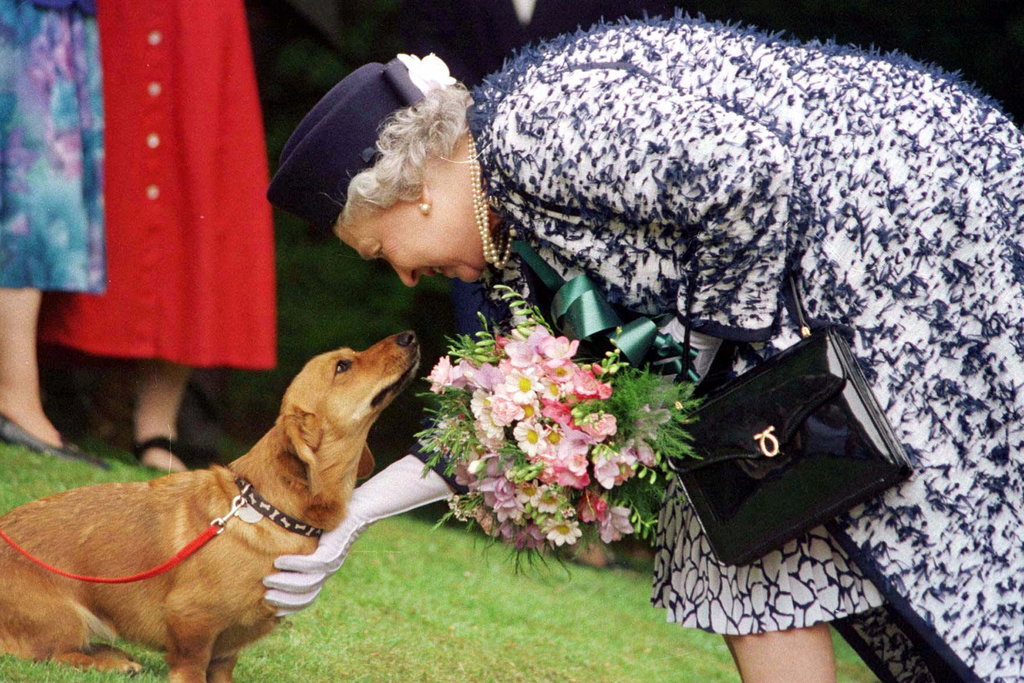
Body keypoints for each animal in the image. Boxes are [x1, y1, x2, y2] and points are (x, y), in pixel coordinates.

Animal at [0, 329, 419, 679]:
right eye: (343, 365)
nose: (410, 336)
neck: (267, 508)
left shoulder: (227, 649)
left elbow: (222, 667)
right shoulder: (192, 620)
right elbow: (192, 665)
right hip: (66, 618)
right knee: (51, 653)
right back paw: (108, 663)